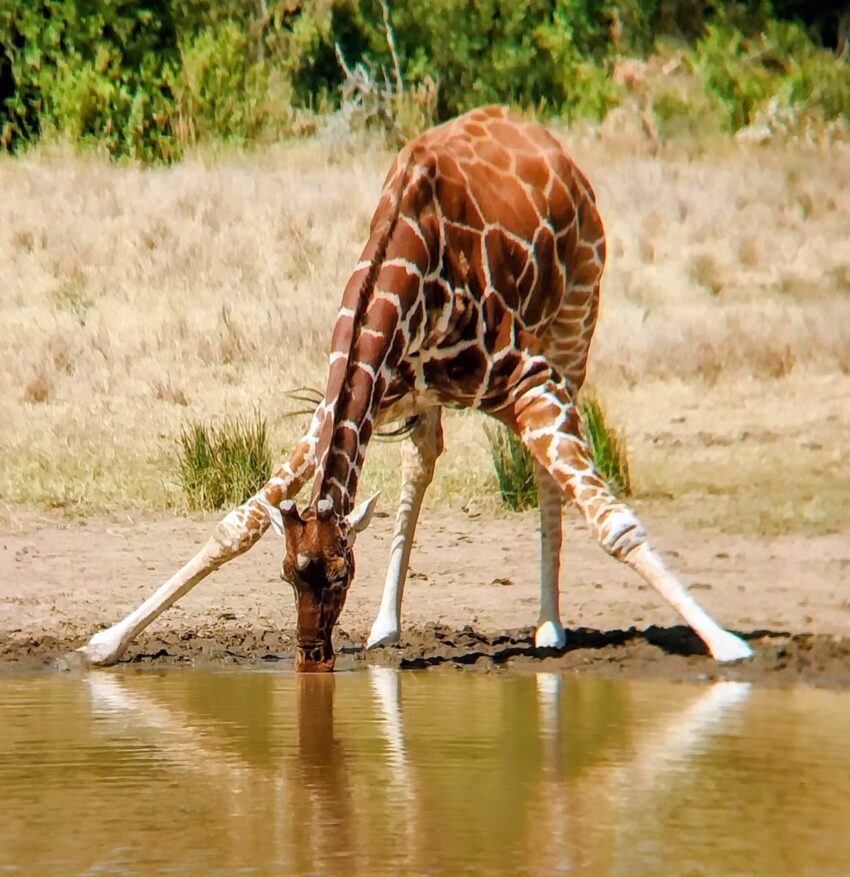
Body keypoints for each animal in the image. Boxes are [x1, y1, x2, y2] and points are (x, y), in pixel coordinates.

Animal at [77, 106, 753, 672]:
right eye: (288, 575)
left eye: (343, 573)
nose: (313, 657)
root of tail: (551, 146)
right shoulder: (357, 398)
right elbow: (236, 524)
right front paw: (107, 641)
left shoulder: (528, 375)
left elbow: (614, 522)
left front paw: (726, 644)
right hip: (427, 397)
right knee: (420, 465)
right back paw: (387, 627)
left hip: (574, 326)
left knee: (542, 473)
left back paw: (549, 628)